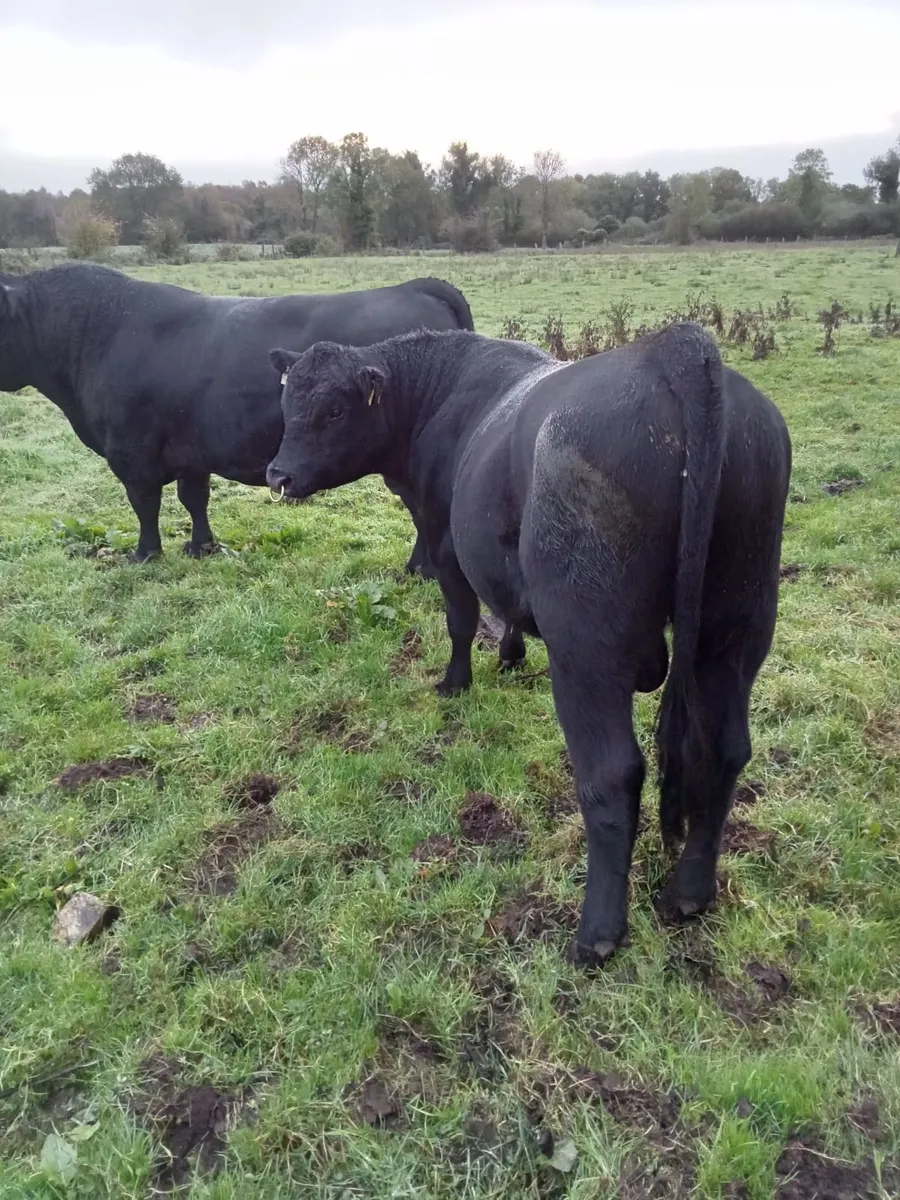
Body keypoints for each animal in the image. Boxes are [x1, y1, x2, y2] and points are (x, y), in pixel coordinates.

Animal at [0, 262, 474, 567]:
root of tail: (415, 285)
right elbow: (194, 499)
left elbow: (145, 505)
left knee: (419, 511)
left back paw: (419, 568)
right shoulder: (190, 450)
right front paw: (201, 548)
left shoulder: (131, 453)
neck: (100, 332)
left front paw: (145, 555)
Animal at [265, 322, 792, 967]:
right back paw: (690, 892)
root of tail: (671, 349)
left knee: (612, 775)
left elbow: (462, 619)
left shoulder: (446, 544)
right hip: (733, 633)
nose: (278, 475)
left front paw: (454, 683)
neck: (439, 395)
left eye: (334, 410)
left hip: (587, 652)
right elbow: (505, 607)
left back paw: (596, 934)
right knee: (725, 751)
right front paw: (511, 655)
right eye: (288, 403)